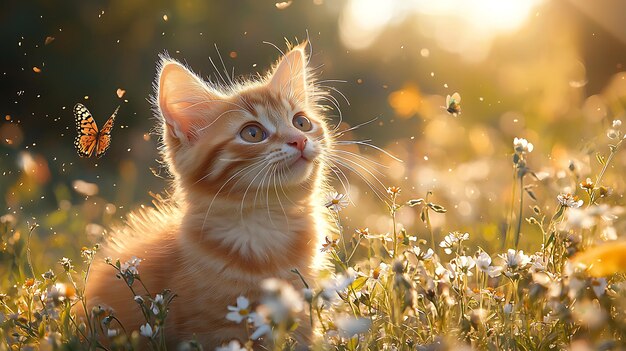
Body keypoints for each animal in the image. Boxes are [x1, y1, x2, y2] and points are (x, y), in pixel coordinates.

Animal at [83, 43, 332, 350]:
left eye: (301, 122)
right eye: (253, 133)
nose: (300, 140)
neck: (266, 222)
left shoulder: (299, 316)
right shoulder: (214, 331)